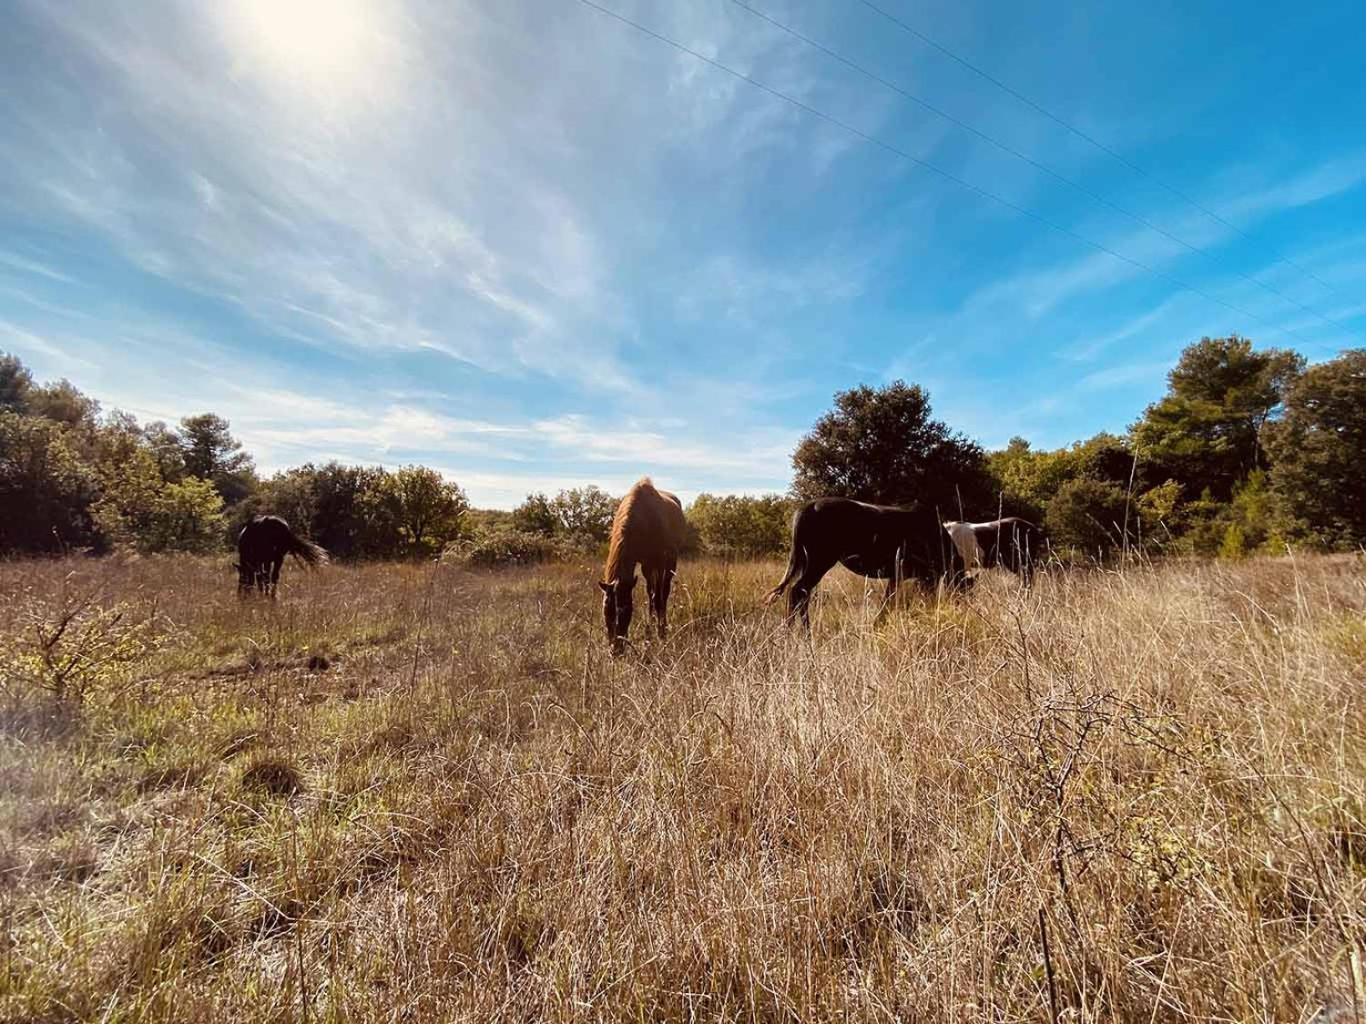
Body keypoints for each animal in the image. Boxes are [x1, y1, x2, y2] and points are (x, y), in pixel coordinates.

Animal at [598, 480, 688, 658]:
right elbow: (651, 597)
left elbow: (659, 599)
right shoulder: (646, 564)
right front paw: (649, 635)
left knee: (663, 595)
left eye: (626, 611)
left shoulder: (658, 562)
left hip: (669, 563)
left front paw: (661, 635)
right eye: (606, 612)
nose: (615, 651)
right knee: (652, 594)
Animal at [764, 499, 967, 633]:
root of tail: (808, 507)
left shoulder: (907, 576)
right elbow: (893, 601)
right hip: (819, 563)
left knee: (799, 594)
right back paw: (801, 633)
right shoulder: (915, 575)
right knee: (798, 591)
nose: (961, 609)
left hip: (809, 563)